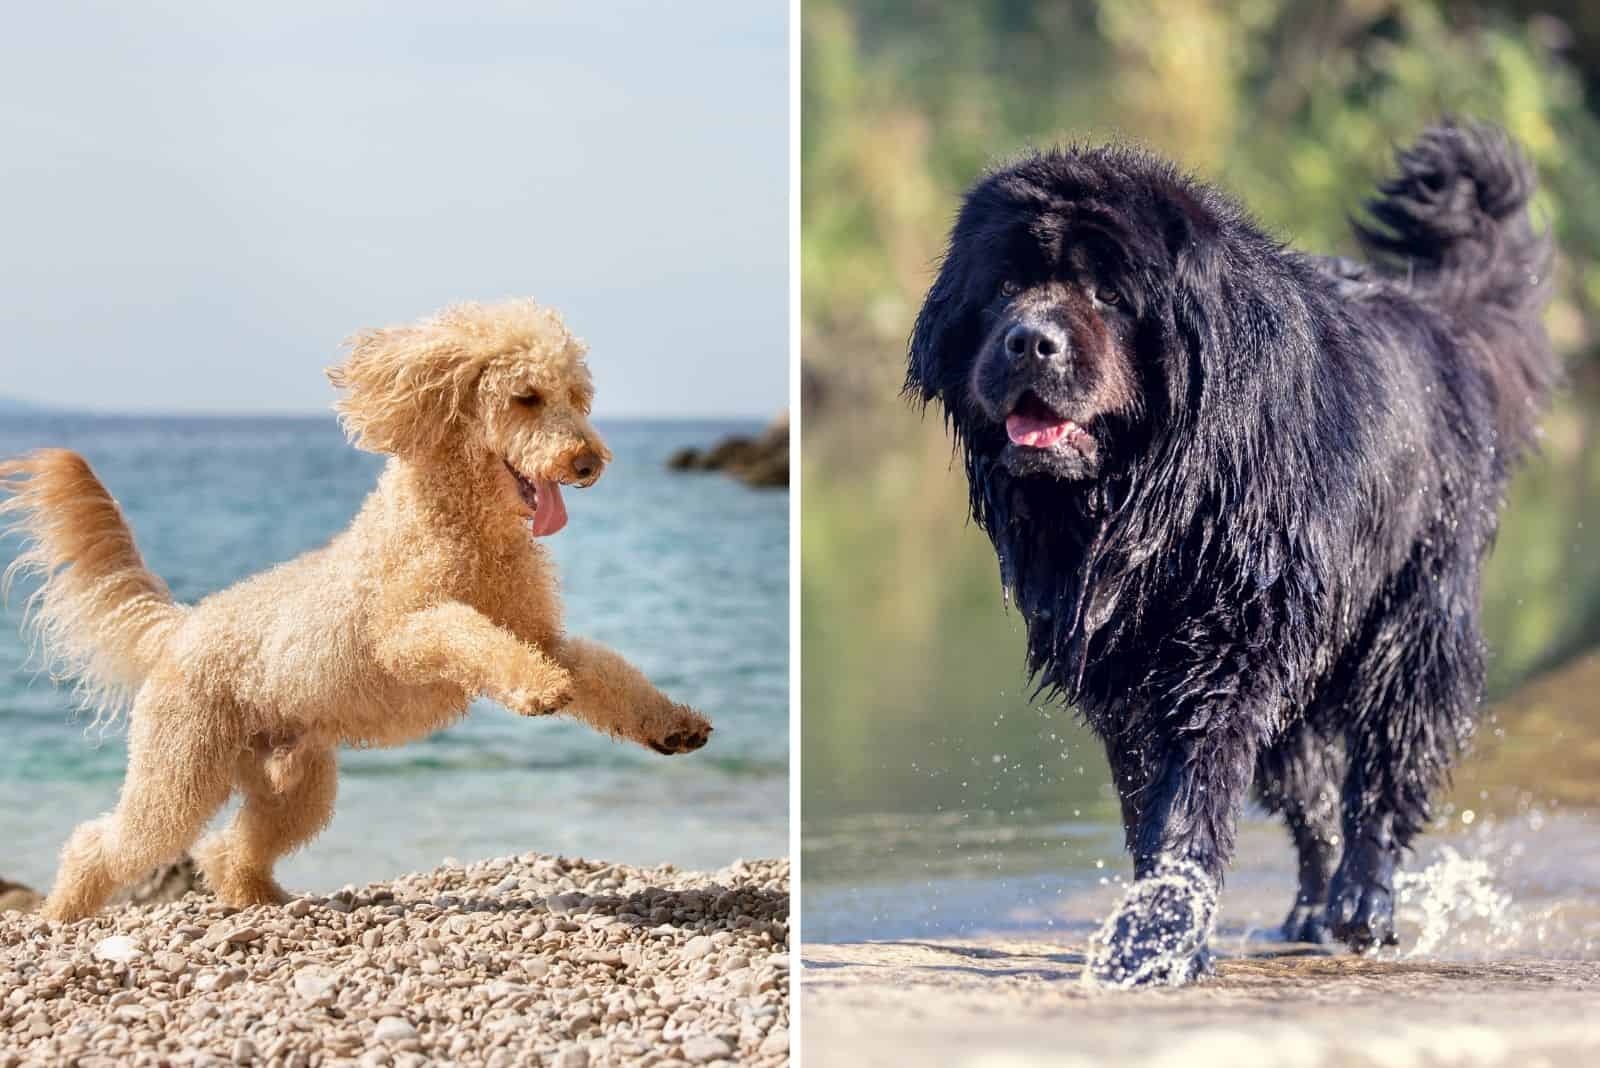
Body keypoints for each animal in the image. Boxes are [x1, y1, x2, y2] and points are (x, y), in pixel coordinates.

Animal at [908, 123, 1555, 984]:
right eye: (1006, 283)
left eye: (1108, 293)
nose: (1029, 341)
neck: (1159, 500)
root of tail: (1436, 321)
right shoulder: (1130, 674)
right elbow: (1152, 803)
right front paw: (1165, 925)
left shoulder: (1224, 654)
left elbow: (1191, 795)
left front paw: (1155, 941)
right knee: (1313, 799)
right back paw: (1309, 910)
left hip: (1412, 620)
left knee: (1383, 774)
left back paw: (1363, 903)